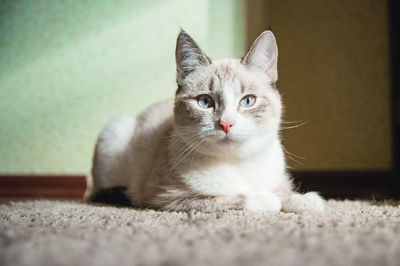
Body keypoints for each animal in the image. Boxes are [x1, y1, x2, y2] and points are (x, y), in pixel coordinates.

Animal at [86, 29, 324, 212]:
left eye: (247, 101)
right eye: (205, 101)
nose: (226, 124)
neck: (238, 164)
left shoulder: (279, 182)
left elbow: (286, 193)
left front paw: (308, 201)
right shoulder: (167, 197)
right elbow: (230, 198)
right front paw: (267, 200)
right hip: (115, 129)